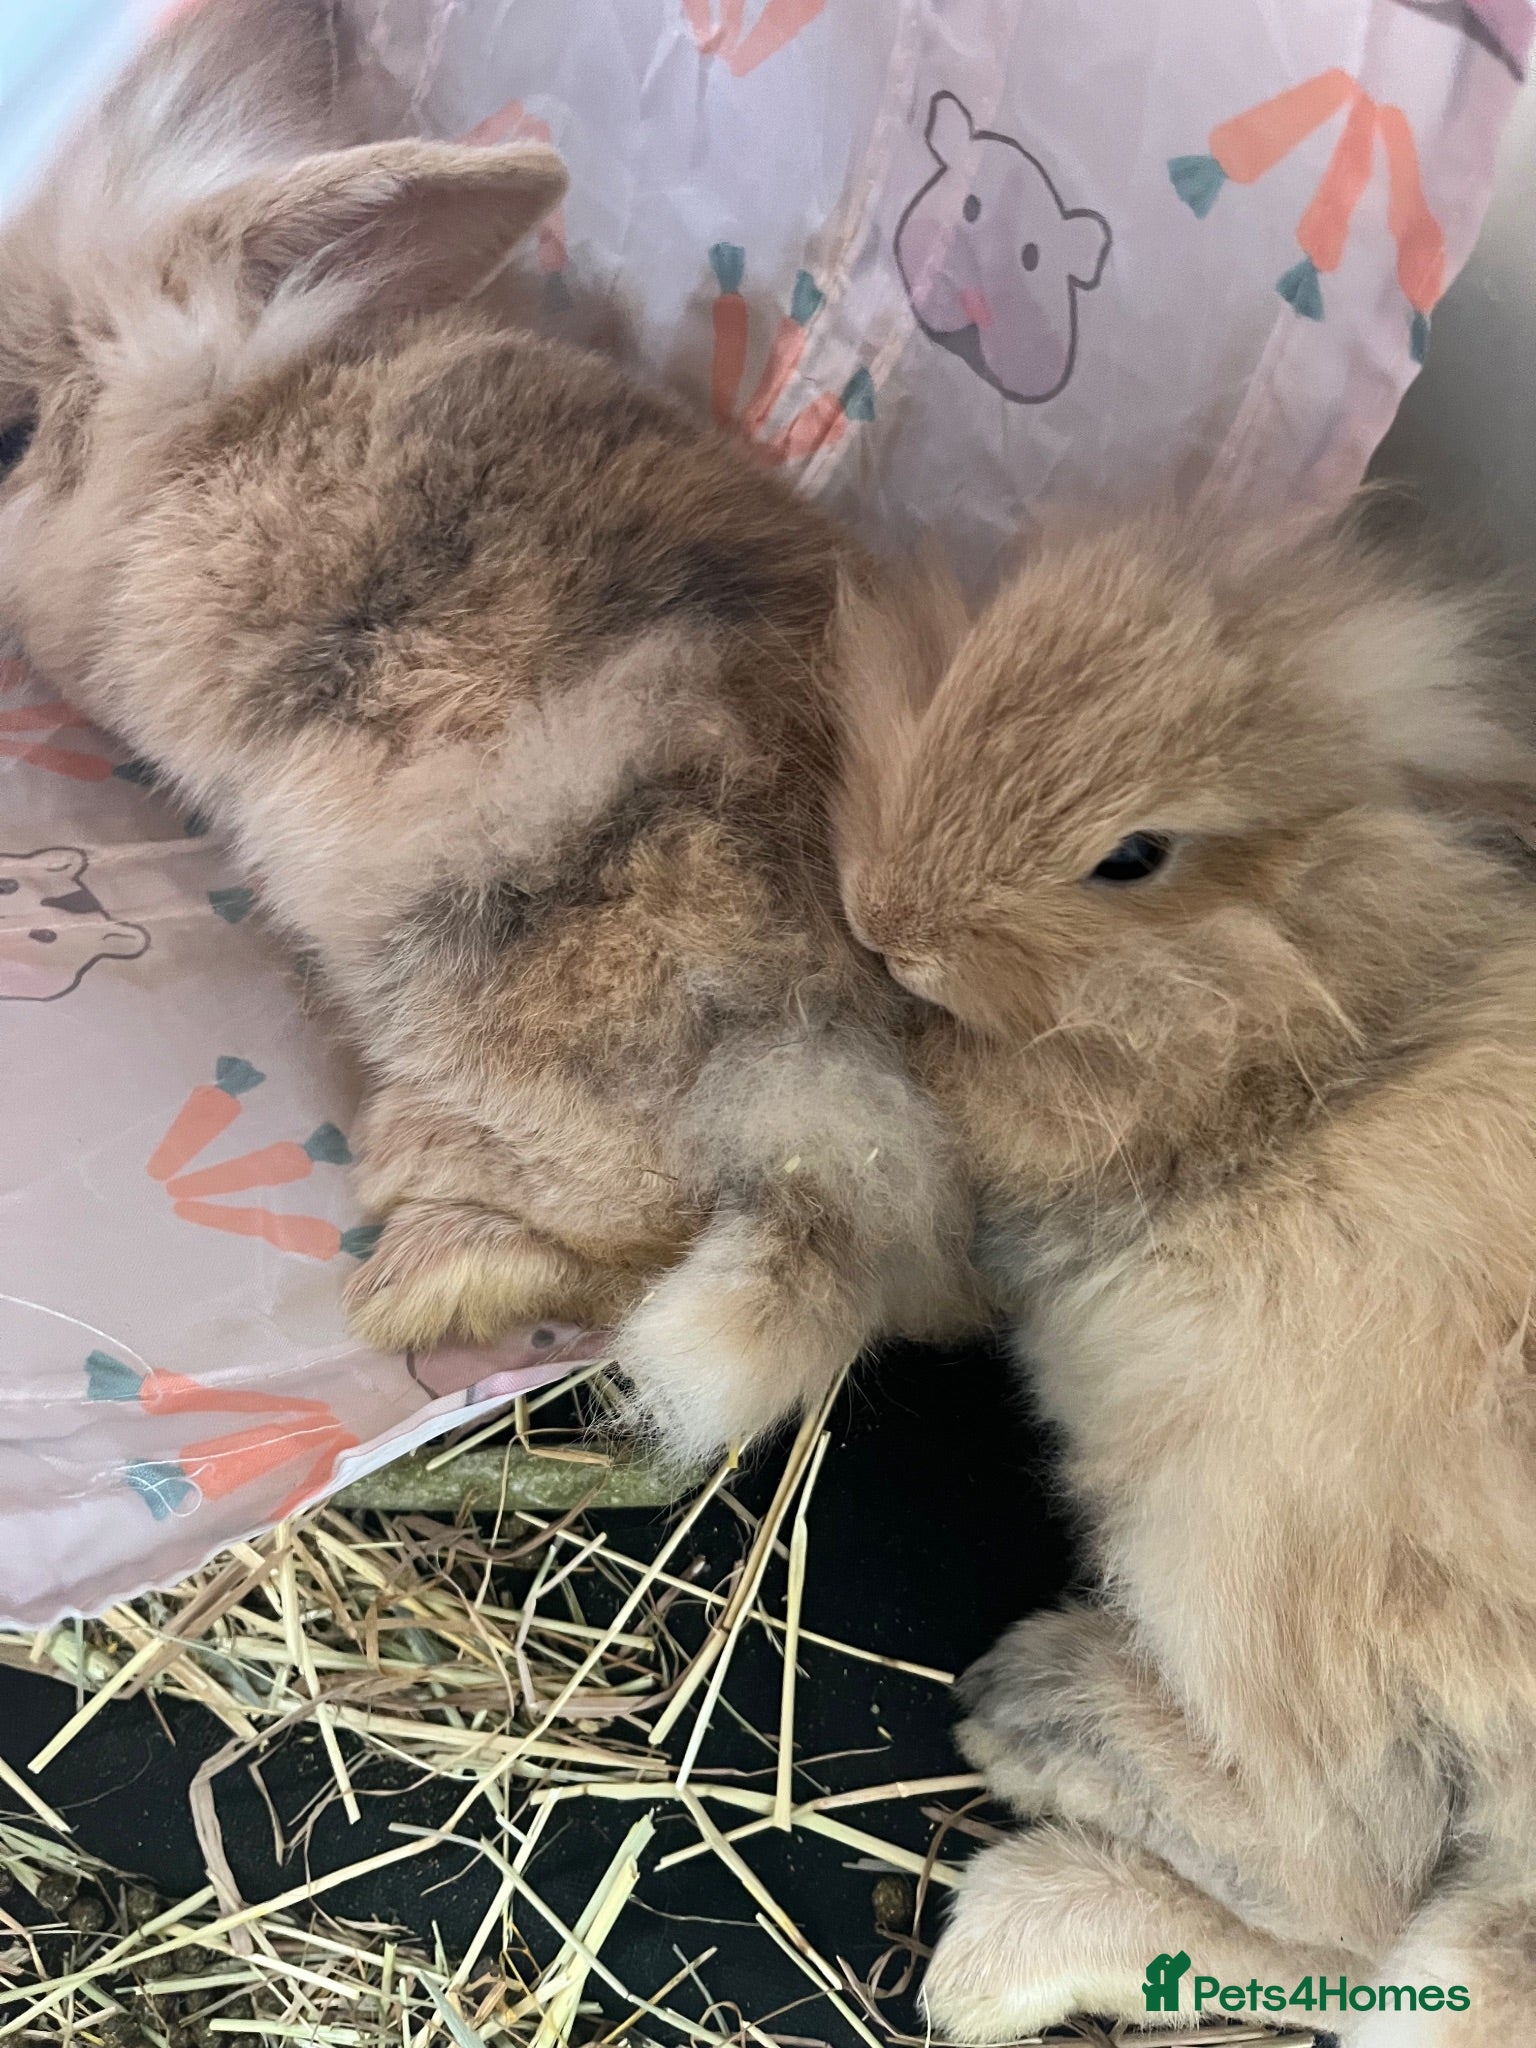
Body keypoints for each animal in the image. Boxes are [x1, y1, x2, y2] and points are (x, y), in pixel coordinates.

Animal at [0, 0, 979, 1462]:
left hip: (488, 978)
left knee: (620, 1228)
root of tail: (846, 1115)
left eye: (7, 429)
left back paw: (419, 1264)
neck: (214, 433)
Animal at [834, 508, 1536, 2043]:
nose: (884, 922)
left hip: (1243, 1546)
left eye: (1136, 853)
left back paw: (1024, 1740)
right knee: (1378, 1939)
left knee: (1348, 1874)